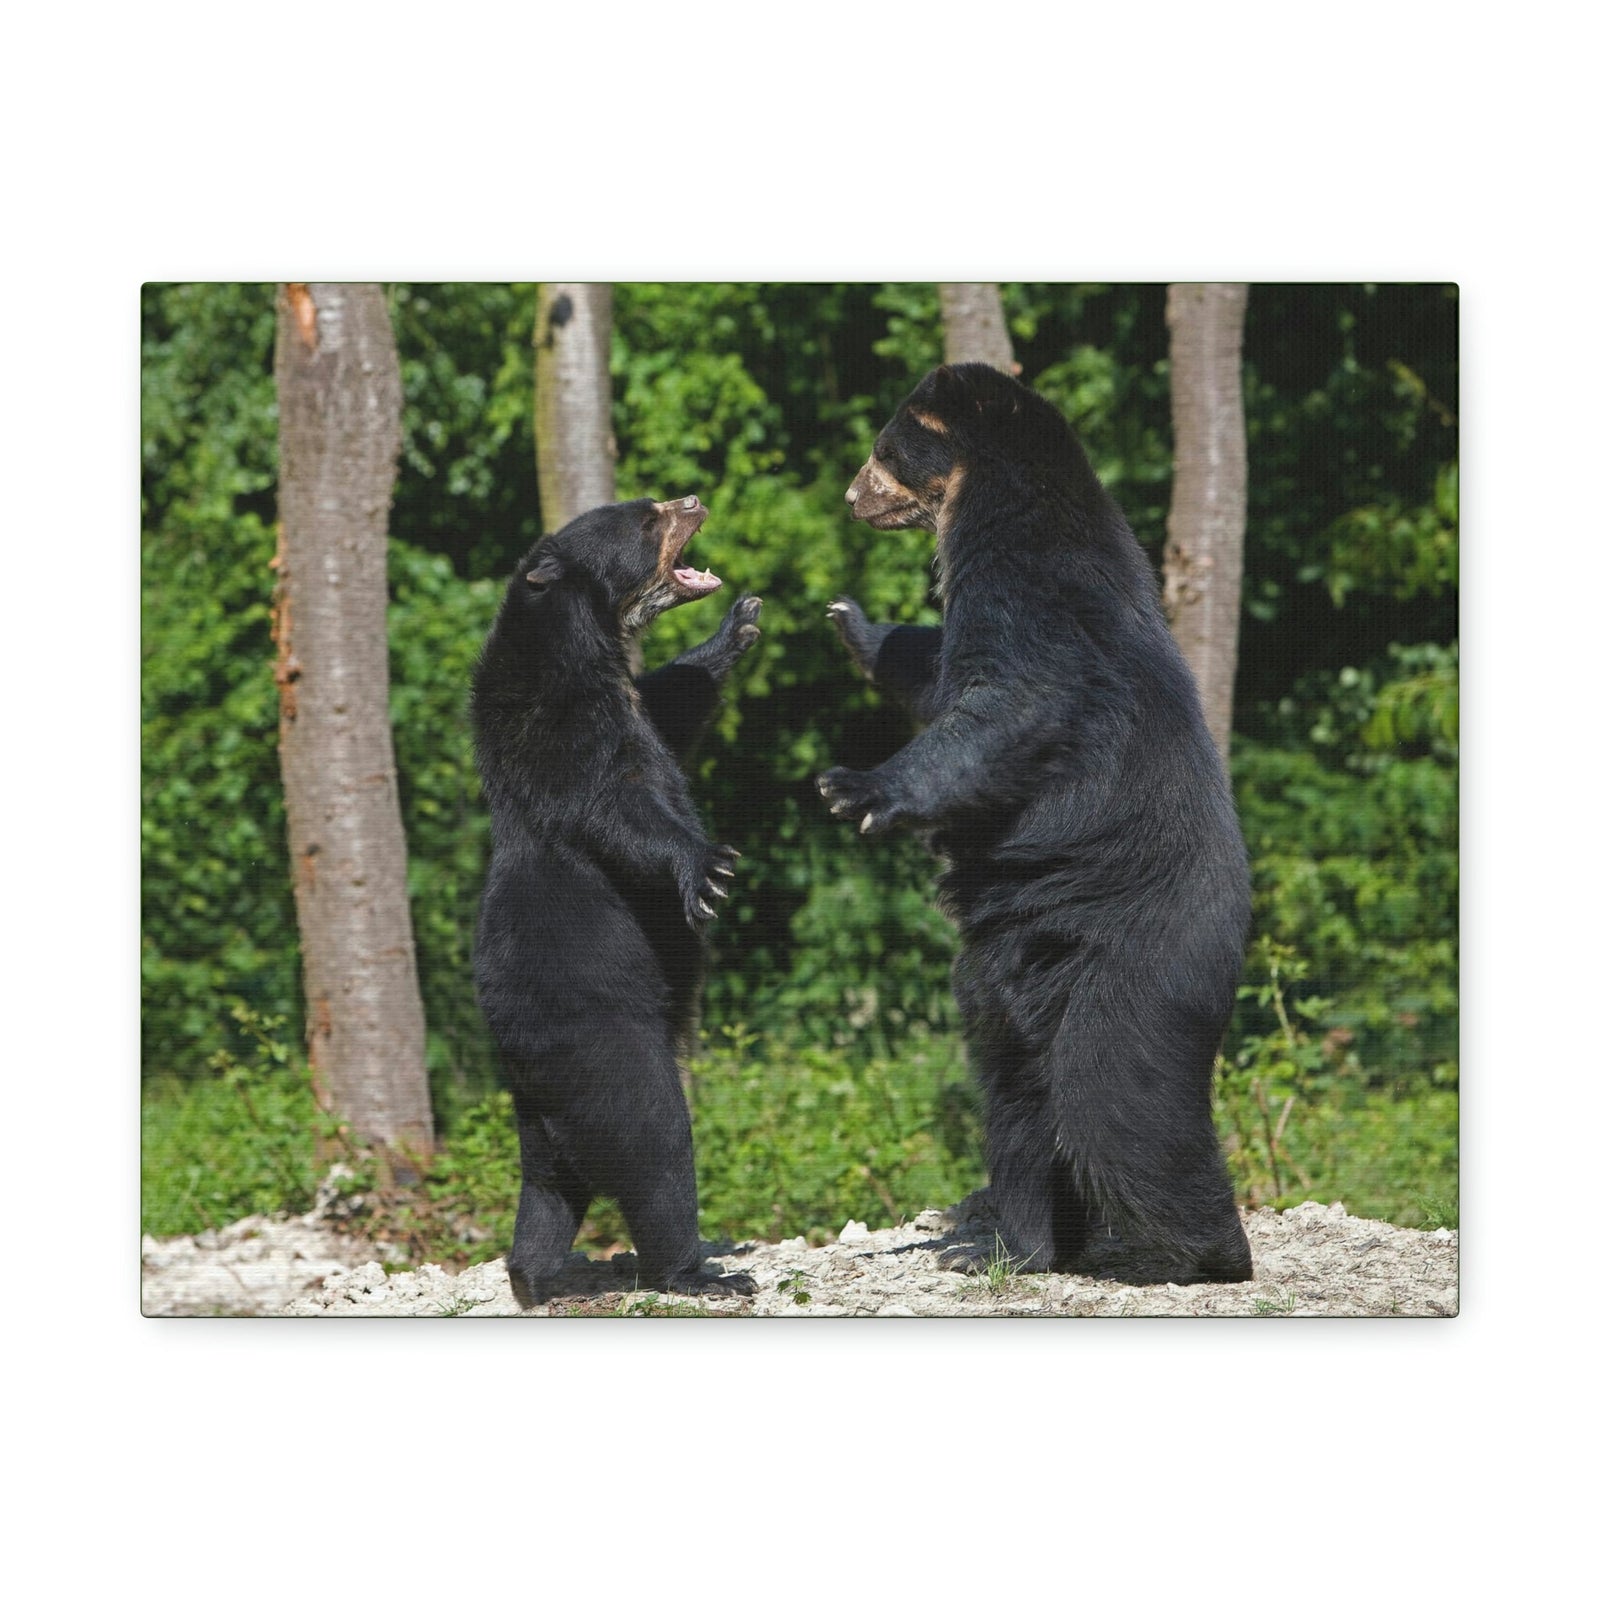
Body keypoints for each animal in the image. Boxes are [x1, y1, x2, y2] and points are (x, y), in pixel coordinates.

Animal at [472, 494, 762, 1306]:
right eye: (644, 518)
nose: (692, 499)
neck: (584, 647)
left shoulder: (634, 704)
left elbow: (675, 702)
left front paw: (736, 628)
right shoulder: (557, 727)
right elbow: (618, 806)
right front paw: (709, 867)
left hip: (540, 1119)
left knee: (547, 1192)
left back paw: (534, 1276)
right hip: (607, 1047)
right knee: (657, 1148)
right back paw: (697, 1271)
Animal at [818, 363, 1253, 1285]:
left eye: (883, 448)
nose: (850, 497)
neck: (989, 502)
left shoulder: (1037, 595)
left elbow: (1008, 705)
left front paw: (852, 787)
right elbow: (935, 674)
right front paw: (853, 621)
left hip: (1134, 964)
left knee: (1114, 1098)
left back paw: (1205, 1248)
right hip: (1009, 975)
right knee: (1017, 1099)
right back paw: (1015, 1244)